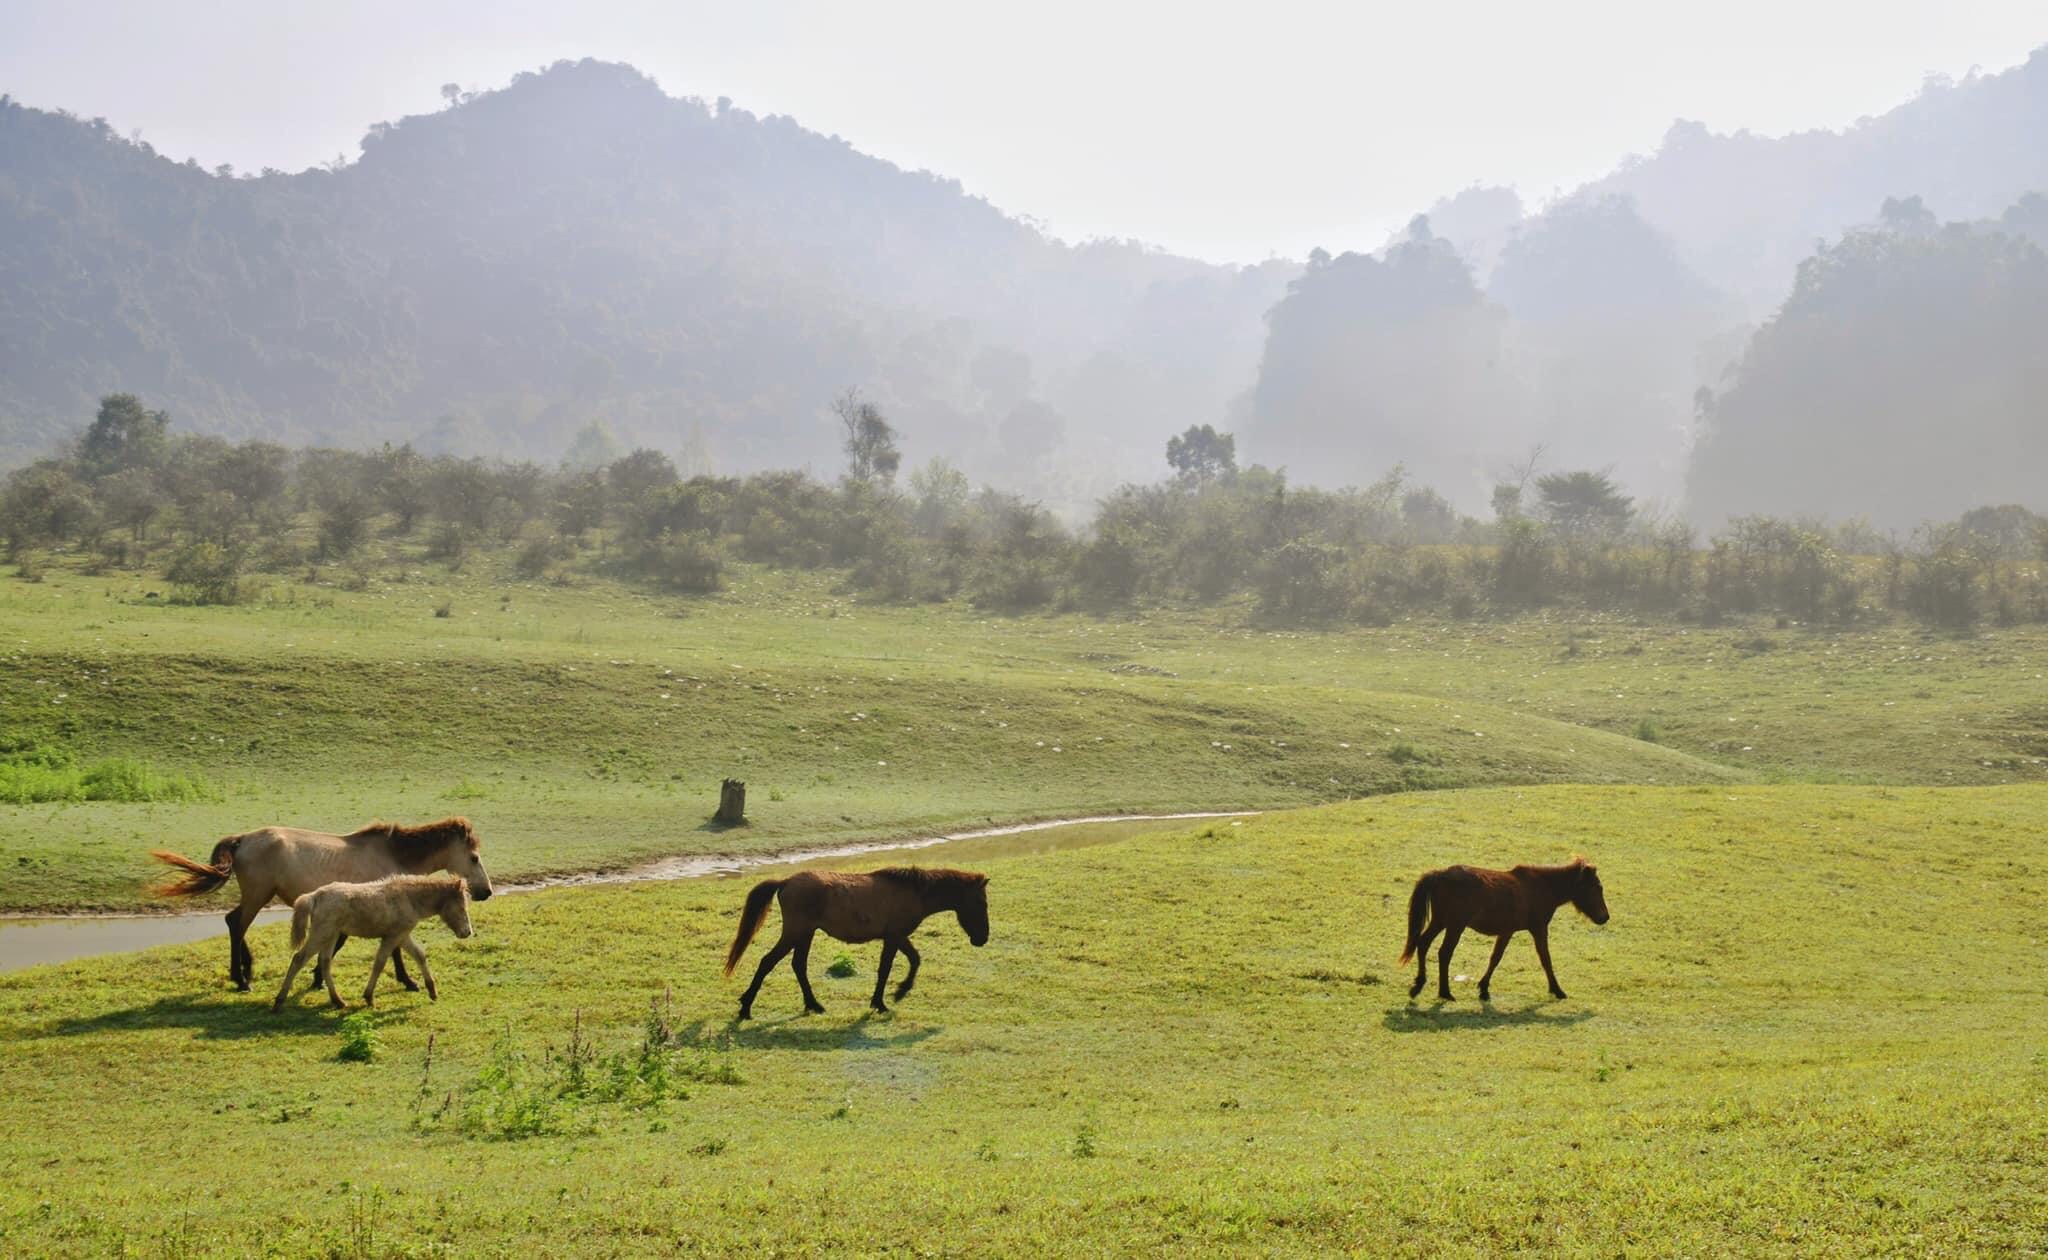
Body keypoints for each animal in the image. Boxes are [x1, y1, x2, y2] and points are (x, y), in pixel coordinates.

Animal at [149, 819, 493, 995]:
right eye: (474, 857)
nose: (486, 891)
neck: (394, 855)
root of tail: (242, 838)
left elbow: (340, 944)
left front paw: (315, 977)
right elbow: (390, 948)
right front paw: (408, 981)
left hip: (258, 894)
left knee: (234, 922)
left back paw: (247, 969)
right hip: (258, 894)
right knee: (236, 924)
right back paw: (241, 979)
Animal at [270, 876, 473, 1016]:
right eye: (462, 907)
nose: (467, 932)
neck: (409, 898)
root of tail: (315, 895)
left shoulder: (402, 935)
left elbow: (419, 955)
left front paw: (432, 991)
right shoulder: (392, 936)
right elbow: (380, 962)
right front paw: (369, 998)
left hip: (331, 935)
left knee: (325, 961)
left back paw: (338, 1001)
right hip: (322, 933)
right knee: (299, 959)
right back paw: (279, 1002)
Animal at [724, 868, 987, 1024]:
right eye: (981, 902)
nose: (982, 938)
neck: (914, 891)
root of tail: (786, 882)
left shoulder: (895, 937)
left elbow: (905, 962)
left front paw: (889, 996)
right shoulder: (895, 936)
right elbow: (895, 966)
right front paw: (891, 996)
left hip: (805, 934)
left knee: (798, 965)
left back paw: (813, 1005)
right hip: (795, 933)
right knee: (768, 962)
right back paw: (746, 1008)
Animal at [1400, 856, 1605, 1003]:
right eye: (1596, 887)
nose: (1605, 917)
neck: (1541, 887)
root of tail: (1439, 874)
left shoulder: (1507, 931)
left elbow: (1495, 958)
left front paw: (1483, 988)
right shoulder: (1538, 929)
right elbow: (1545, 959)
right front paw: (1557, 990)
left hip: (1440, 921)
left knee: (1423, 943)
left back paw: (1418, 985)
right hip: (1455, 925)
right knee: (1444, 953)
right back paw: (1445, 992)